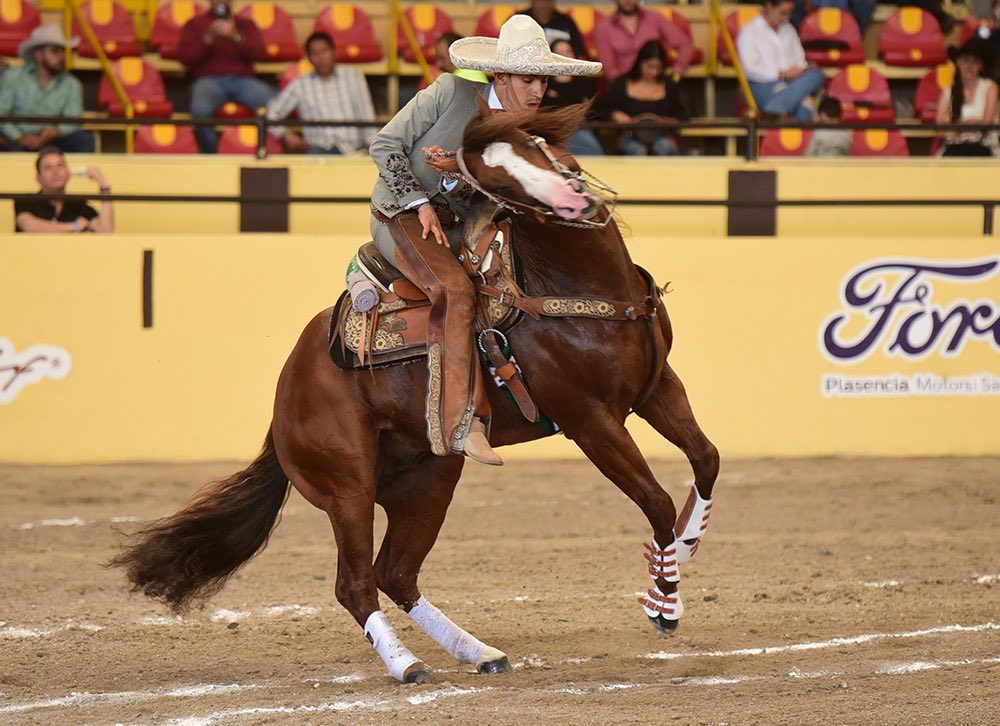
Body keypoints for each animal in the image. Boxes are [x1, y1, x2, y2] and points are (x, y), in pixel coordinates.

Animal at [111, 102, 720, 688]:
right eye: (497, 183)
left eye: (535, 143)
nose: (573, 199)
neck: (576, 286)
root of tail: (289, 385)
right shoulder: (588, 420)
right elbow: (654, 499)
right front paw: (663, 602)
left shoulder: (657, 386)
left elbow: (706, 458)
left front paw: (688, 543)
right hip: (348, 487)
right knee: (355, 583)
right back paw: (406, 665)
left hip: (429, 478)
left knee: (396, 573)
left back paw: (479, 652)